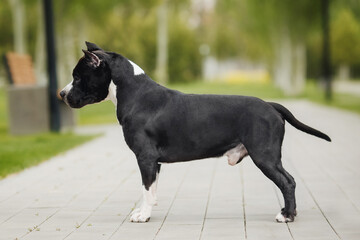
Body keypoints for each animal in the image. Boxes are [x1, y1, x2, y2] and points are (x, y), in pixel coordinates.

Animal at [59, 41, 332, 223]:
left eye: (77, 77)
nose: (61, 94)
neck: (133, 92)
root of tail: (270, 105)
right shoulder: (153, 161)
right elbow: (151, 189)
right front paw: (145, 211)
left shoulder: (145, 157)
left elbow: (145, 188)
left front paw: (143, 216)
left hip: (264, 156)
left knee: (288, 182)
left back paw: (287, 216)